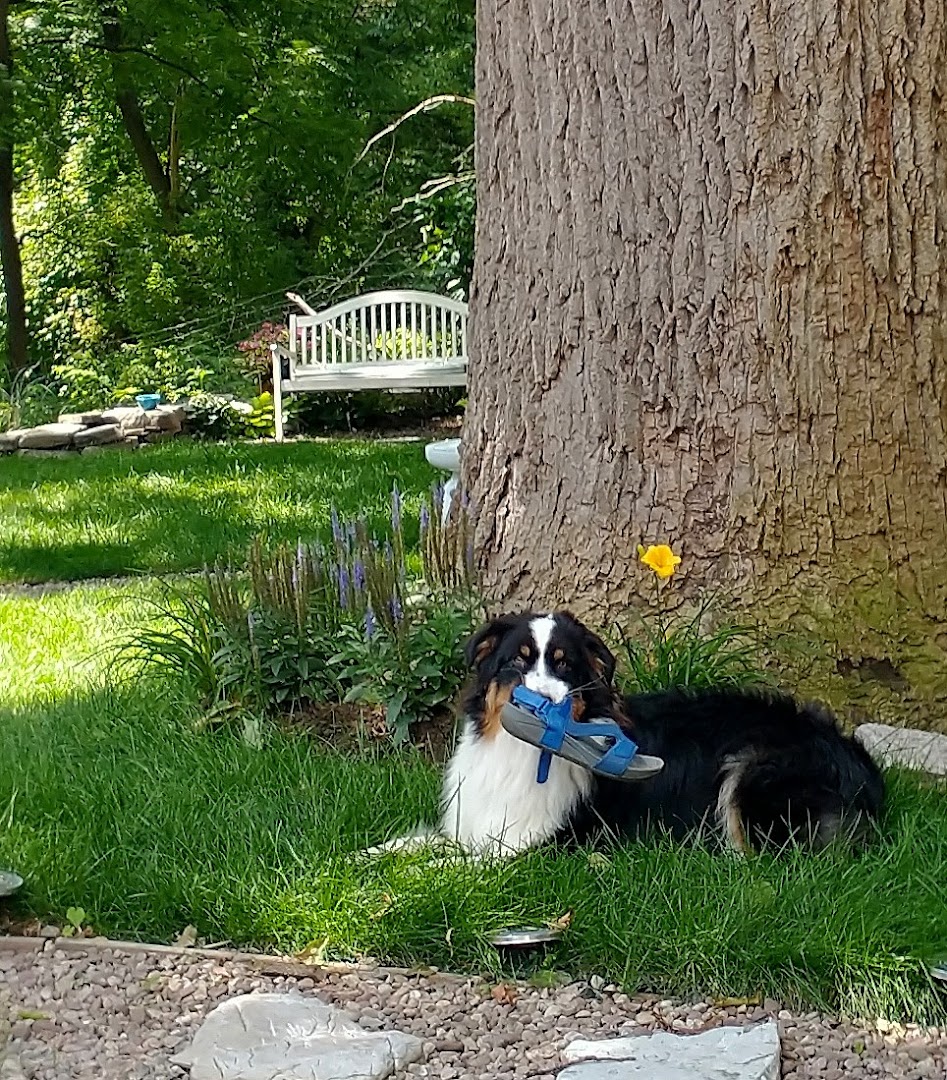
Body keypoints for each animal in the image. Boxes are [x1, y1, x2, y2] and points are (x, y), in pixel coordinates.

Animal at [382, 613, 881, 855]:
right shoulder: (469, 827)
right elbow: (413, 844)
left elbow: (461, 863)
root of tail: (863, 765)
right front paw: (372, 856)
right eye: (517, 661)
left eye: (564, 665)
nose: (543, 704)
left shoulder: (551, 842)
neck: (523, 752)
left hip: (752, 766)